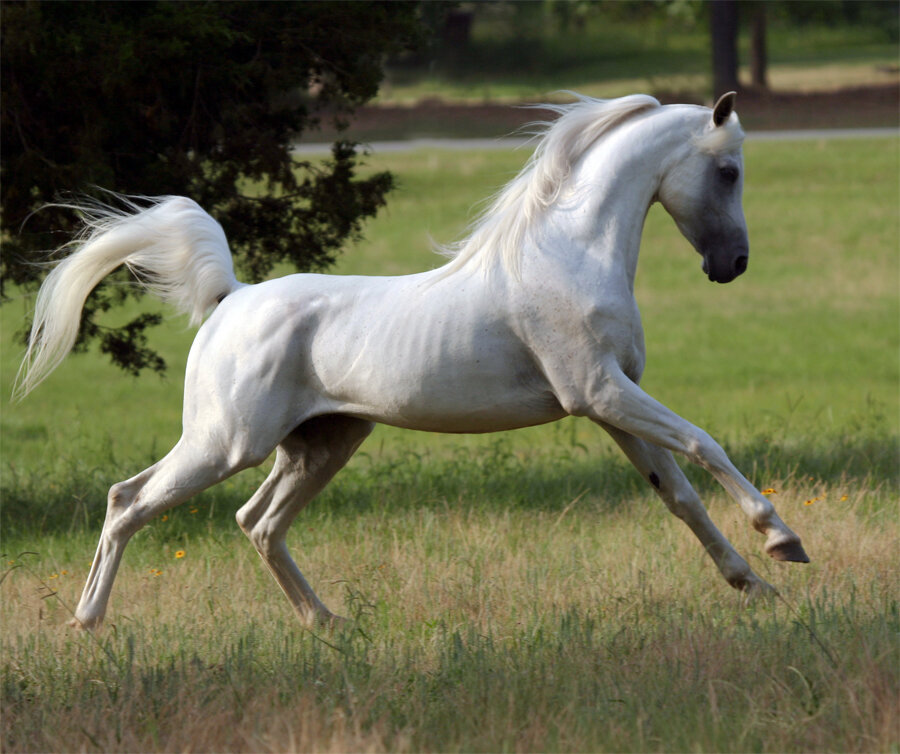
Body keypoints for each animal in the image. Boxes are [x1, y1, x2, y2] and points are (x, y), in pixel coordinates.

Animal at [19, 91, 808, 624]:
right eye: (728, 171)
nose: (732, 264)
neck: (569, 256)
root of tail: (230, 299)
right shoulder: (600, 392)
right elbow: (704, 445)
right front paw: (782, 540)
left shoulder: (612, 405)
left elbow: (677, 495)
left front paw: (755, 583)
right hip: (226, 442)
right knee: (129, 501)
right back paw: (87, 623)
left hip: (323, 442)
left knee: (258, 522)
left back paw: (326, 622)